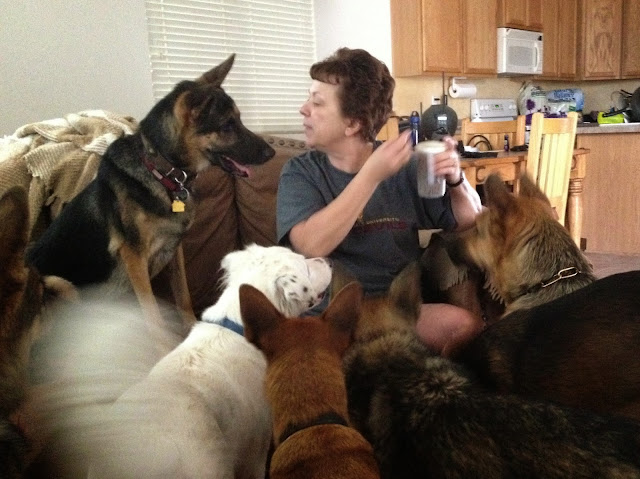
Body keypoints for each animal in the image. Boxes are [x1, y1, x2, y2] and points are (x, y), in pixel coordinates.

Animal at [26, 54, 275, 344]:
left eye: (239, 120)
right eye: (228, 125)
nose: (271, 153)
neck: (163, 172)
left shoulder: (175, 250)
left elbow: (183, 296)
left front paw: (191, 328)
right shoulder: (135, 257)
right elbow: (152, 314)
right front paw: (164, 348)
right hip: (56, 284)